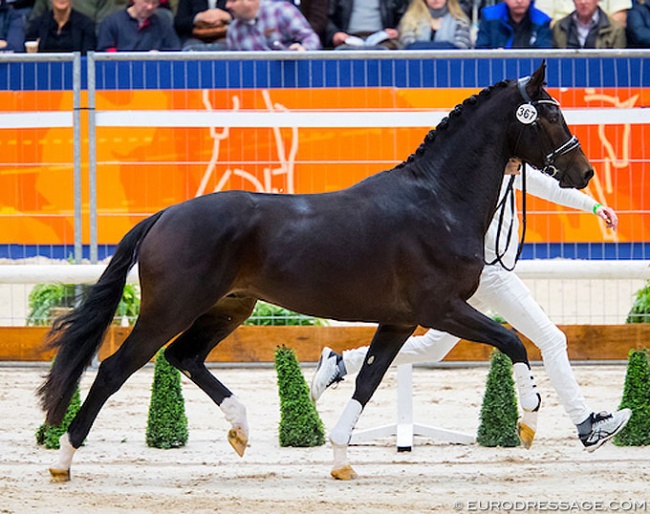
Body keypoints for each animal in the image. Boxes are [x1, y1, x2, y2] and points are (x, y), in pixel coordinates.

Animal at [38, 61, 588, 480]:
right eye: (550, 116)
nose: (583, 173)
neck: (437, 201)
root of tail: (164, 216)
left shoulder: (400, 321)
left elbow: (368, 379)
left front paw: (341, 457)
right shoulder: (443, 308)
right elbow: (512, 341)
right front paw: (529, 418)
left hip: (229, 307)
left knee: (184, 356)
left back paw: (240, 428)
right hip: (171, 308)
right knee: (116, 368)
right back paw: (64, 460)